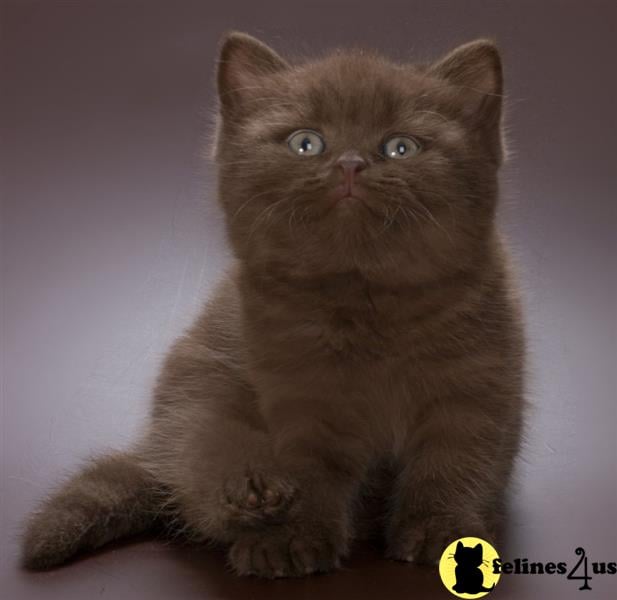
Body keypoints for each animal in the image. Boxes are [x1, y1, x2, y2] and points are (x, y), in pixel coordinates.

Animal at [22, 31, 524, 576]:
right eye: (306, 142)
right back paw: (253, 491)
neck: (363, 301)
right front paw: (288, 540)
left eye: (400, 146)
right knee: (201, 470)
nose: (350, 164)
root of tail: (155, 449)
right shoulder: (296, 397)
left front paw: (445, 534)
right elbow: (309, 471)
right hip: (194, 393)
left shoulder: (477, 387)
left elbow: (454, 464)